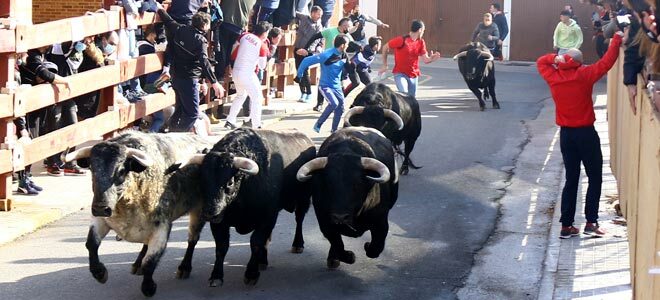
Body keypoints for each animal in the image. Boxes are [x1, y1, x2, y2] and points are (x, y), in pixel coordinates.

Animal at [63, 132, 213, 298]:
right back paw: (137, 264)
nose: (101, 207)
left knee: (192, 239)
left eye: (121, 171)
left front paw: (149, 287)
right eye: (92, 169)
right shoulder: (101, 220)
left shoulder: (161, 227)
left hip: (198, 211)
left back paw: (184, 267)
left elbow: (151, 261)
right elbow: (91, 243)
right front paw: (100, 273)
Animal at [298, 126, 398, 270]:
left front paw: (367, 245)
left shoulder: (381, 222)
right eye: (328, 183)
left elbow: (375, 247)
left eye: (357, 184)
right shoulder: (325, 223)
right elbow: (337, 244)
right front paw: (348, 256)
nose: (340, 217)